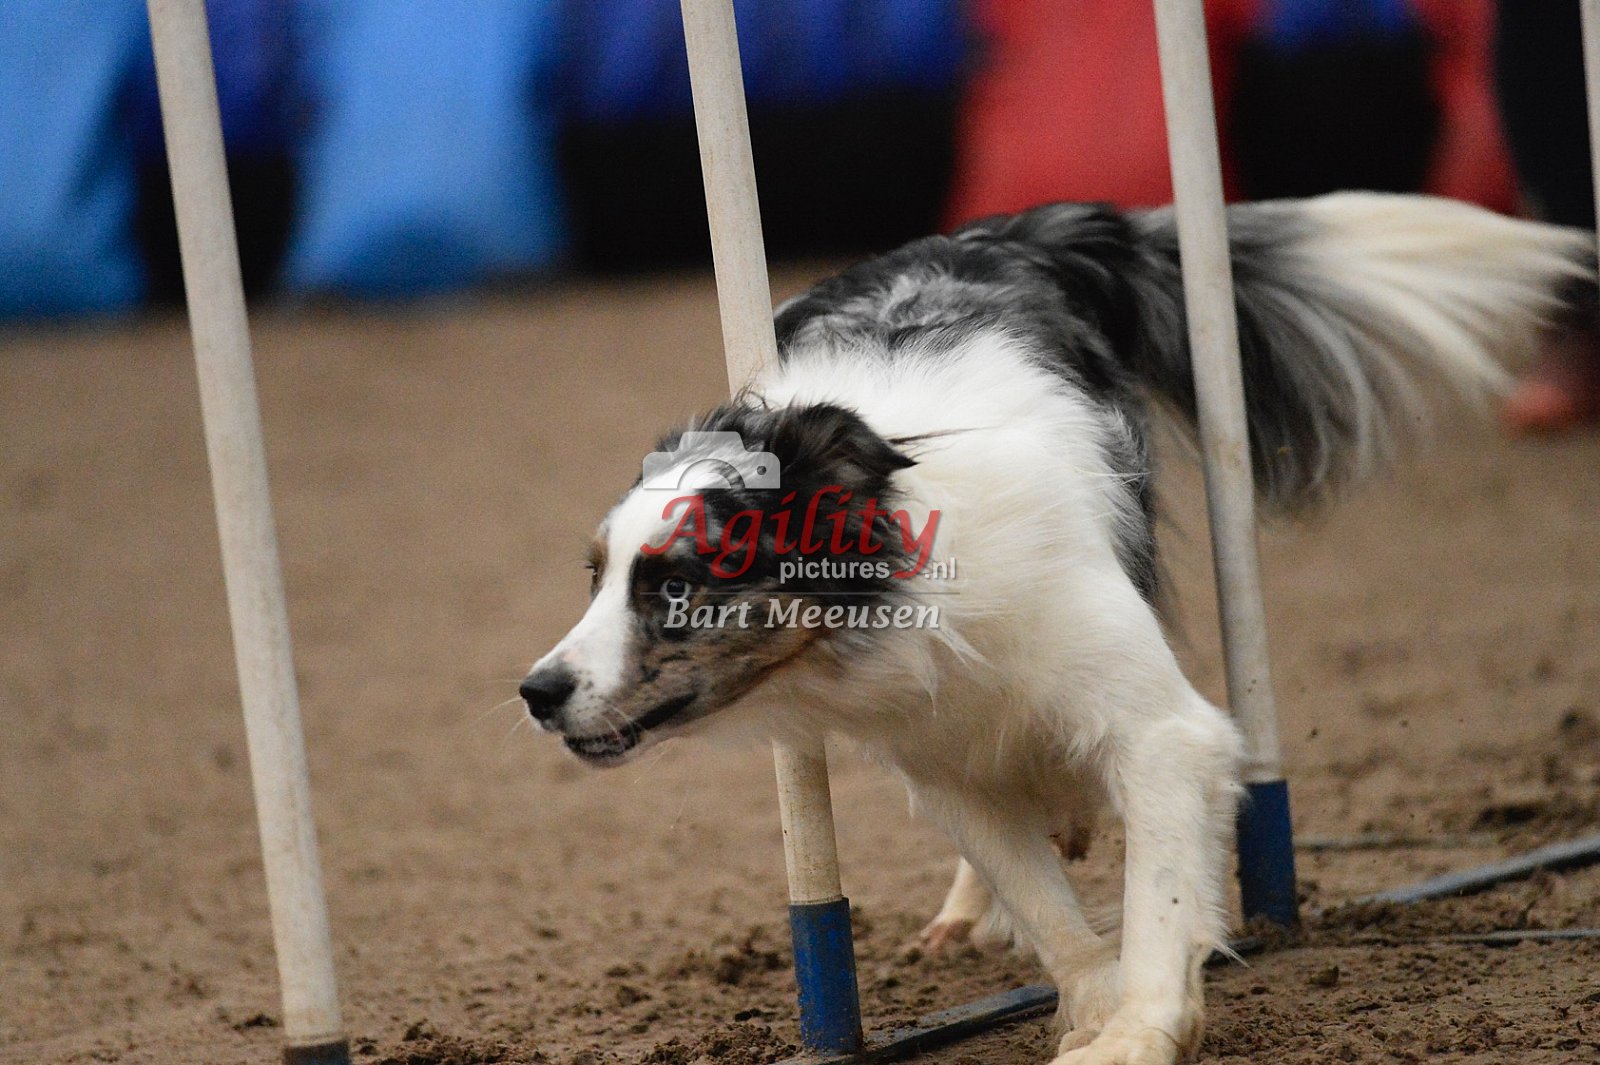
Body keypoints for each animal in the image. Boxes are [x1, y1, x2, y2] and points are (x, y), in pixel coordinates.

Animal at [519, 193, 1592, 1065]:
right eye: (597, 575)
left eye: (677, 580)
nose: (535, 692)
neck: (921, 595)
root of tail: (999, 230)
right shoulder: (941, 764)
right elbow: (1043, 900)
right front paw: (1095, 1000)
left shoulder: (1163, 729)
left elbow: (1159, 893)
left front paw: (1140, 1031)